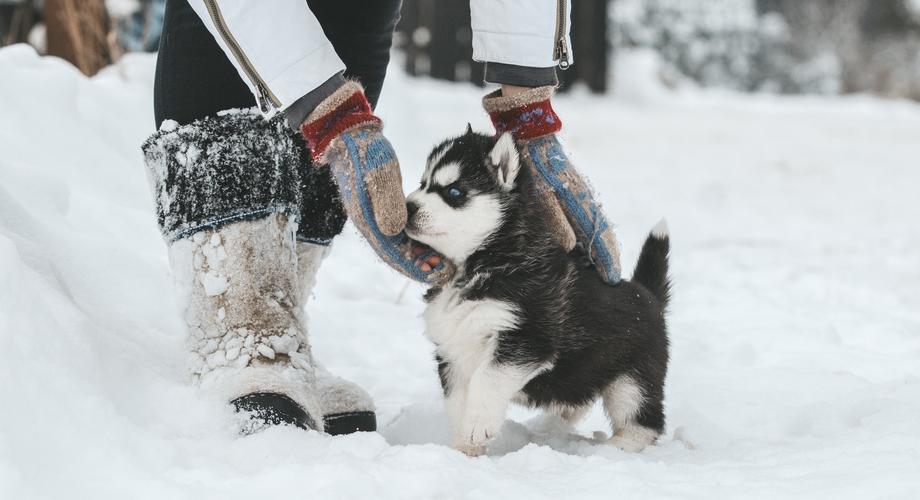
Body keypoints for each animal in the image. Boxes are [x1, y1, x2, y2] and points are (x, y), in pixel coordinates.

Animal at [406, 129, 672, 458]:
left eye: (454, 192)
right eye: (423, 184)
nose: (407, 207)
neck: (483, 262)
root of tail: (647, 294)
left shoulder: (525, 339)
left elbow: (487, 380)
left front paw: (476, 427)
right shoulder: (452, 348)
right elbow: (456, 400)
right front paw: (464, 448)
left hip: (632, 379)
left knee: (645, 422)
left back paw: (612, 448)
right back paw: (549, 426)